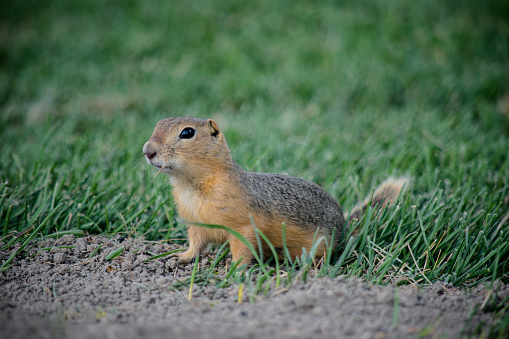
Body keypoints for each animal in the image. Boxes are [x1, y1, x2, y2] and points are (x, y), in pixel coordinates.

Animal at [142, 118, 408, 266]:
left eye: (187, 133)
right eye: (156, 125)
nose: (147, 150)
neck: (191, 187)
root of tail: (343, 227)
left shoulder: (242, 226)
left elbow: (242, 248)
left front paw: (233, 269)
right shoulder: (196, 224)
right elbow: (195, 244)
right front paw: (182, 257)